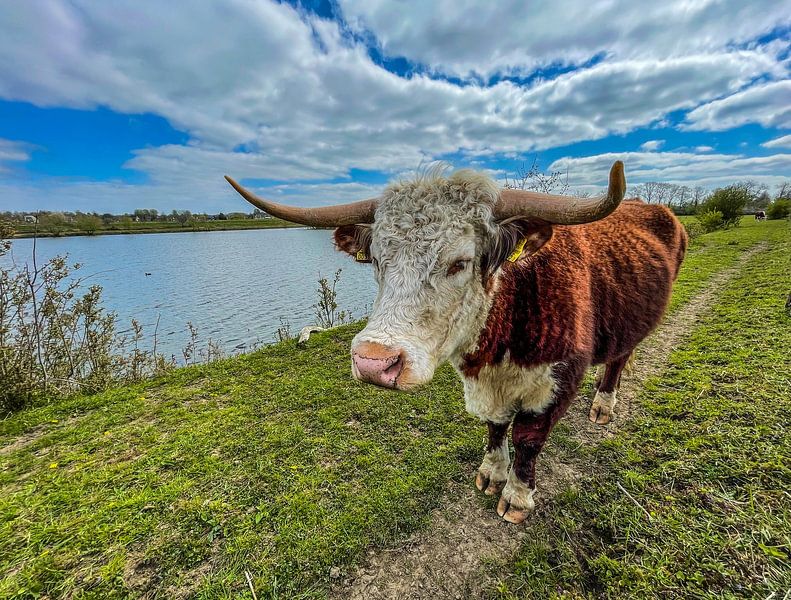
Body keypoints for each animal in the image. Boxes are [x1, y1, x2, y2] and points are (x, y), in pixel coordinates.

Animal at [225, 161, 687, 524]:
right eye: (377, 260)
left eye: (460, 262)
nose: (374, 362)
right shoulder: (486, 386)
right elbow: (495, 425)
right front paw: (492, 473)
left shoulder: (557, 382)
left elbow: (528, 439)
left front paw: (517, 496)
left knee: (618, 360)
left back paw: (604, 405)